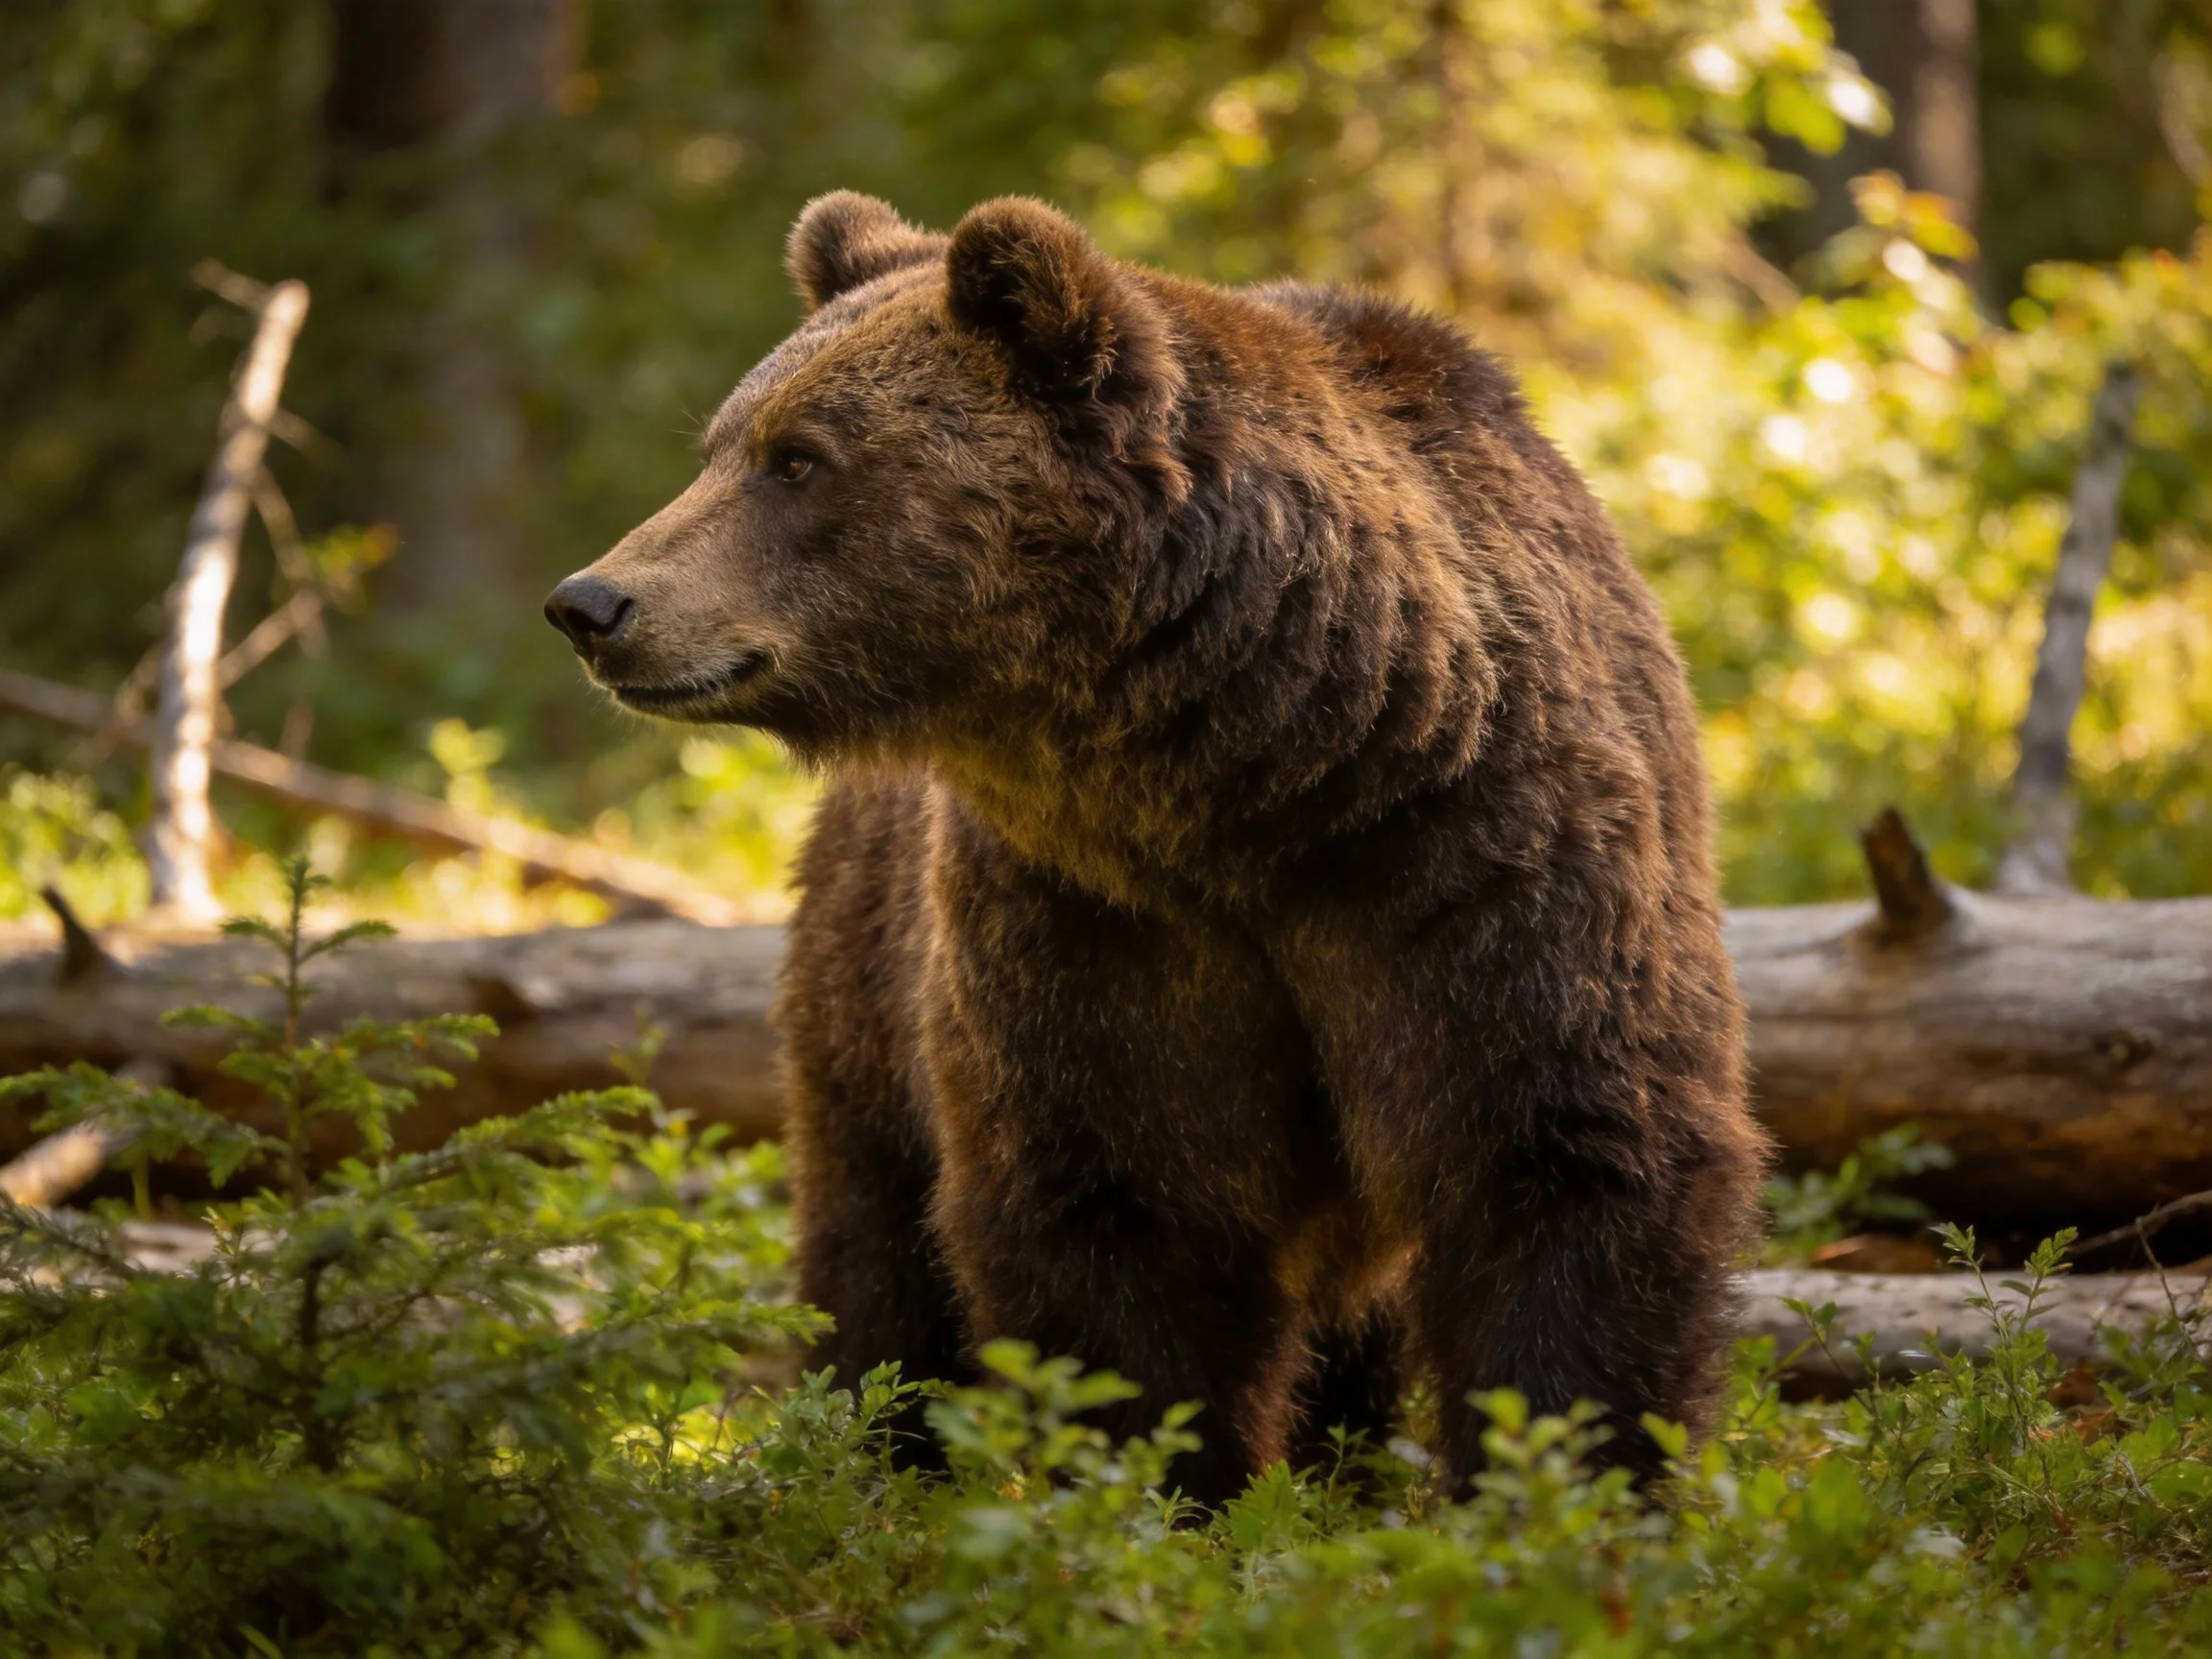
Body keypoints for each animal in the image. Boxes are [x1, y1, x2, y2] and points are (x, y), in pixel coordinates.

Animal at [545, 190, 1767, 1503]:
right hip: (862, 974)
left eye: (799, 457)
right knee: (874, 1232)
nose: (592, 603)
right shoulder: (1088, 914)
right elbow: (1119, 1198)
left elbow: (1564, 1154)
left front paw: (1562, 1485)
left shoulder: (1488, 863)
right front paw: (1176, 1485)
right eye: (719, 445)